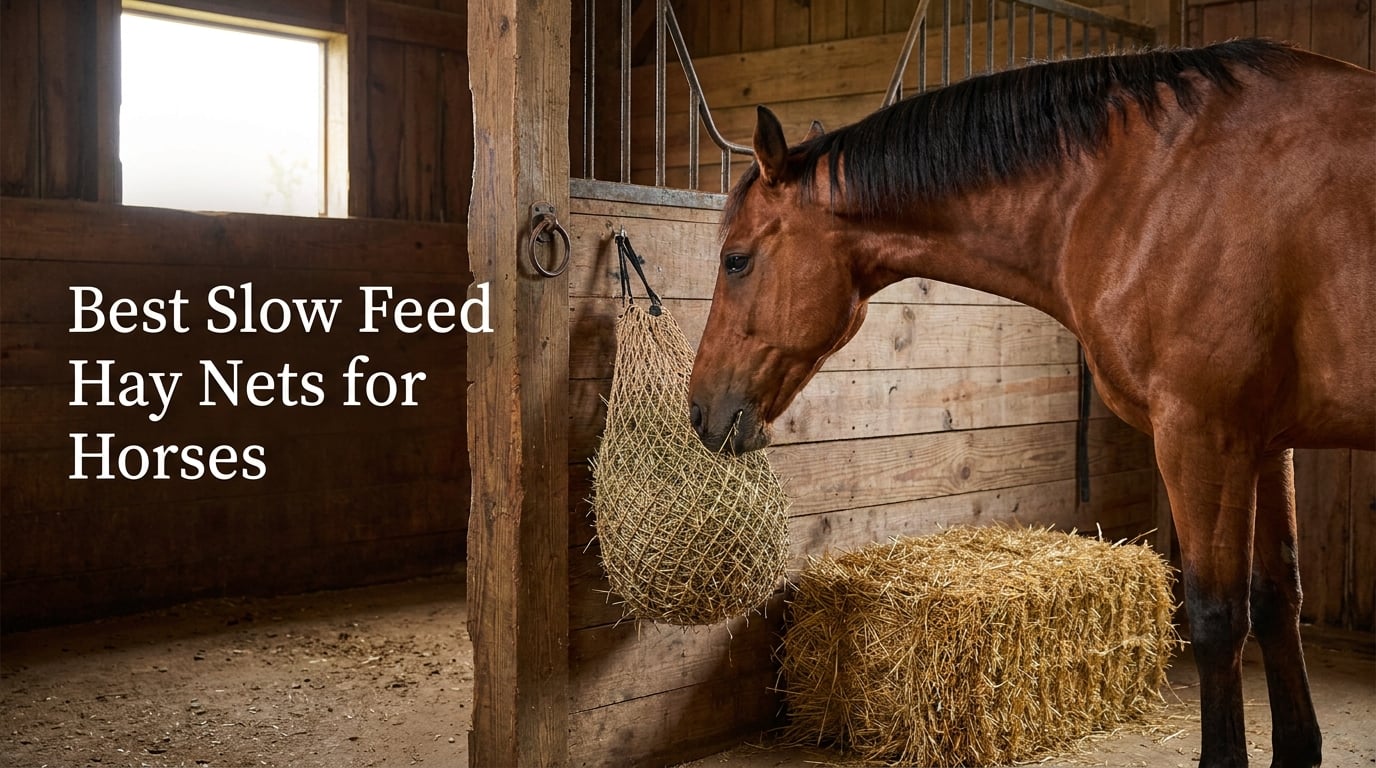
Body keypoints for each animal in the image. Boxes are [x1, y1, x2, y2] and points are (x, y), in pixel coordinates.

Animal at [687, 39, 1374, 768]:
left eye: (736, 260)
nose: (699, 410)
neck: (1146, 188)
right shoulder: (1265, 442)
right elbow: (1277, 599)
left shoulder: (1203, 436)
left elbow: (1218, 619)